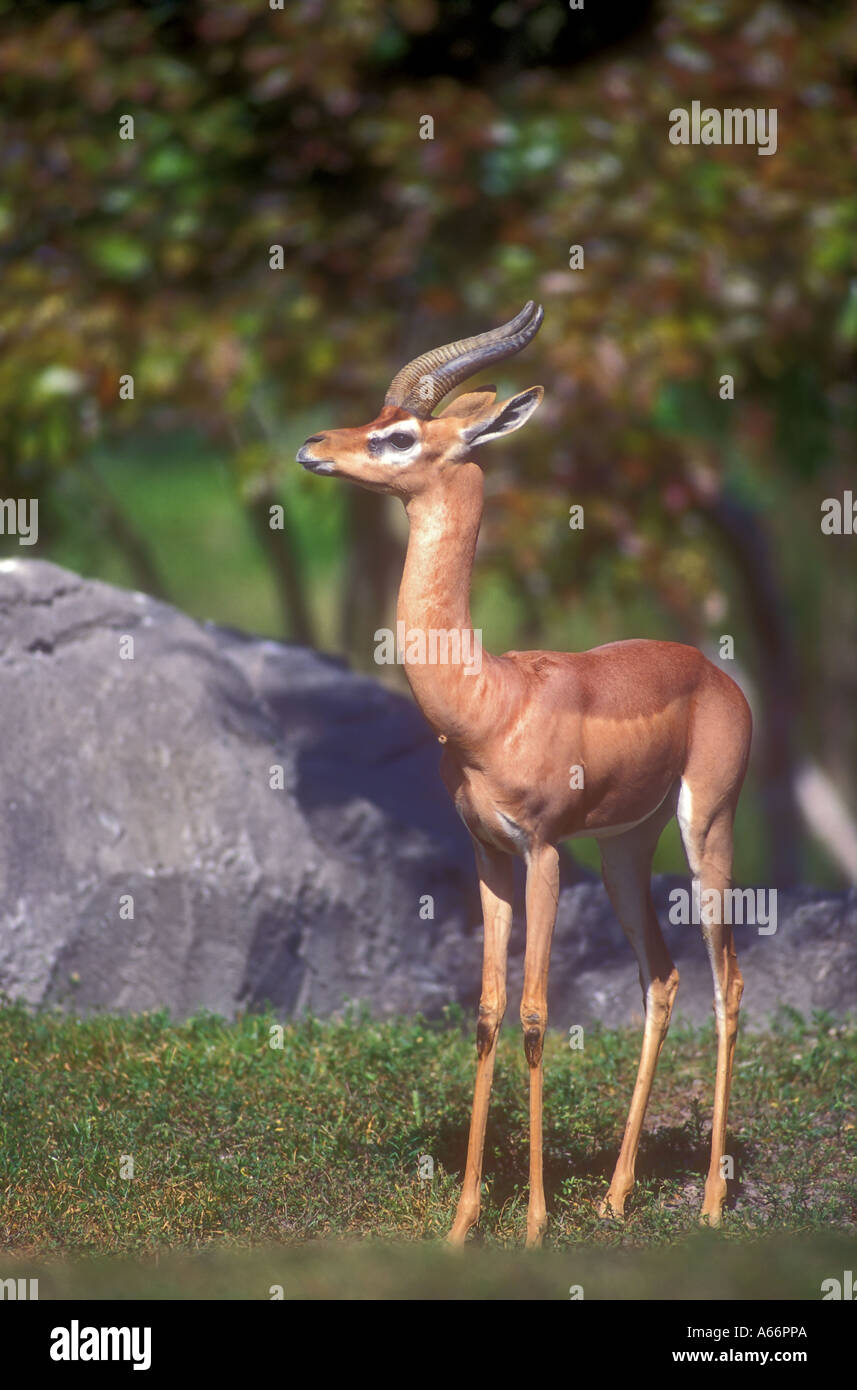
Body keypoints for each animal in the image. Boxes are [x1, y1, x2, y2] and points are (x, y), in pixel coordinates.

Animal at [297, 302, 752, 1247]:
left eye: (399, 435)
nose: (314, 444)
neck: (489, 702)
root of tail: (712, 670)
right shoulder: (487, 855)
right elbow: (486, 1013)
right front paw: (464, 1223)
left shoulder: (542, 851)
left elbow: (540, 1014)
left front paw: (537, 1225)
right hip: (623, 851)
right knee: (662, 977)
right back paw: (614, 1196)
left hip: (706, 831)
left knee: (727, 981)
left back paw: (708, 1203)